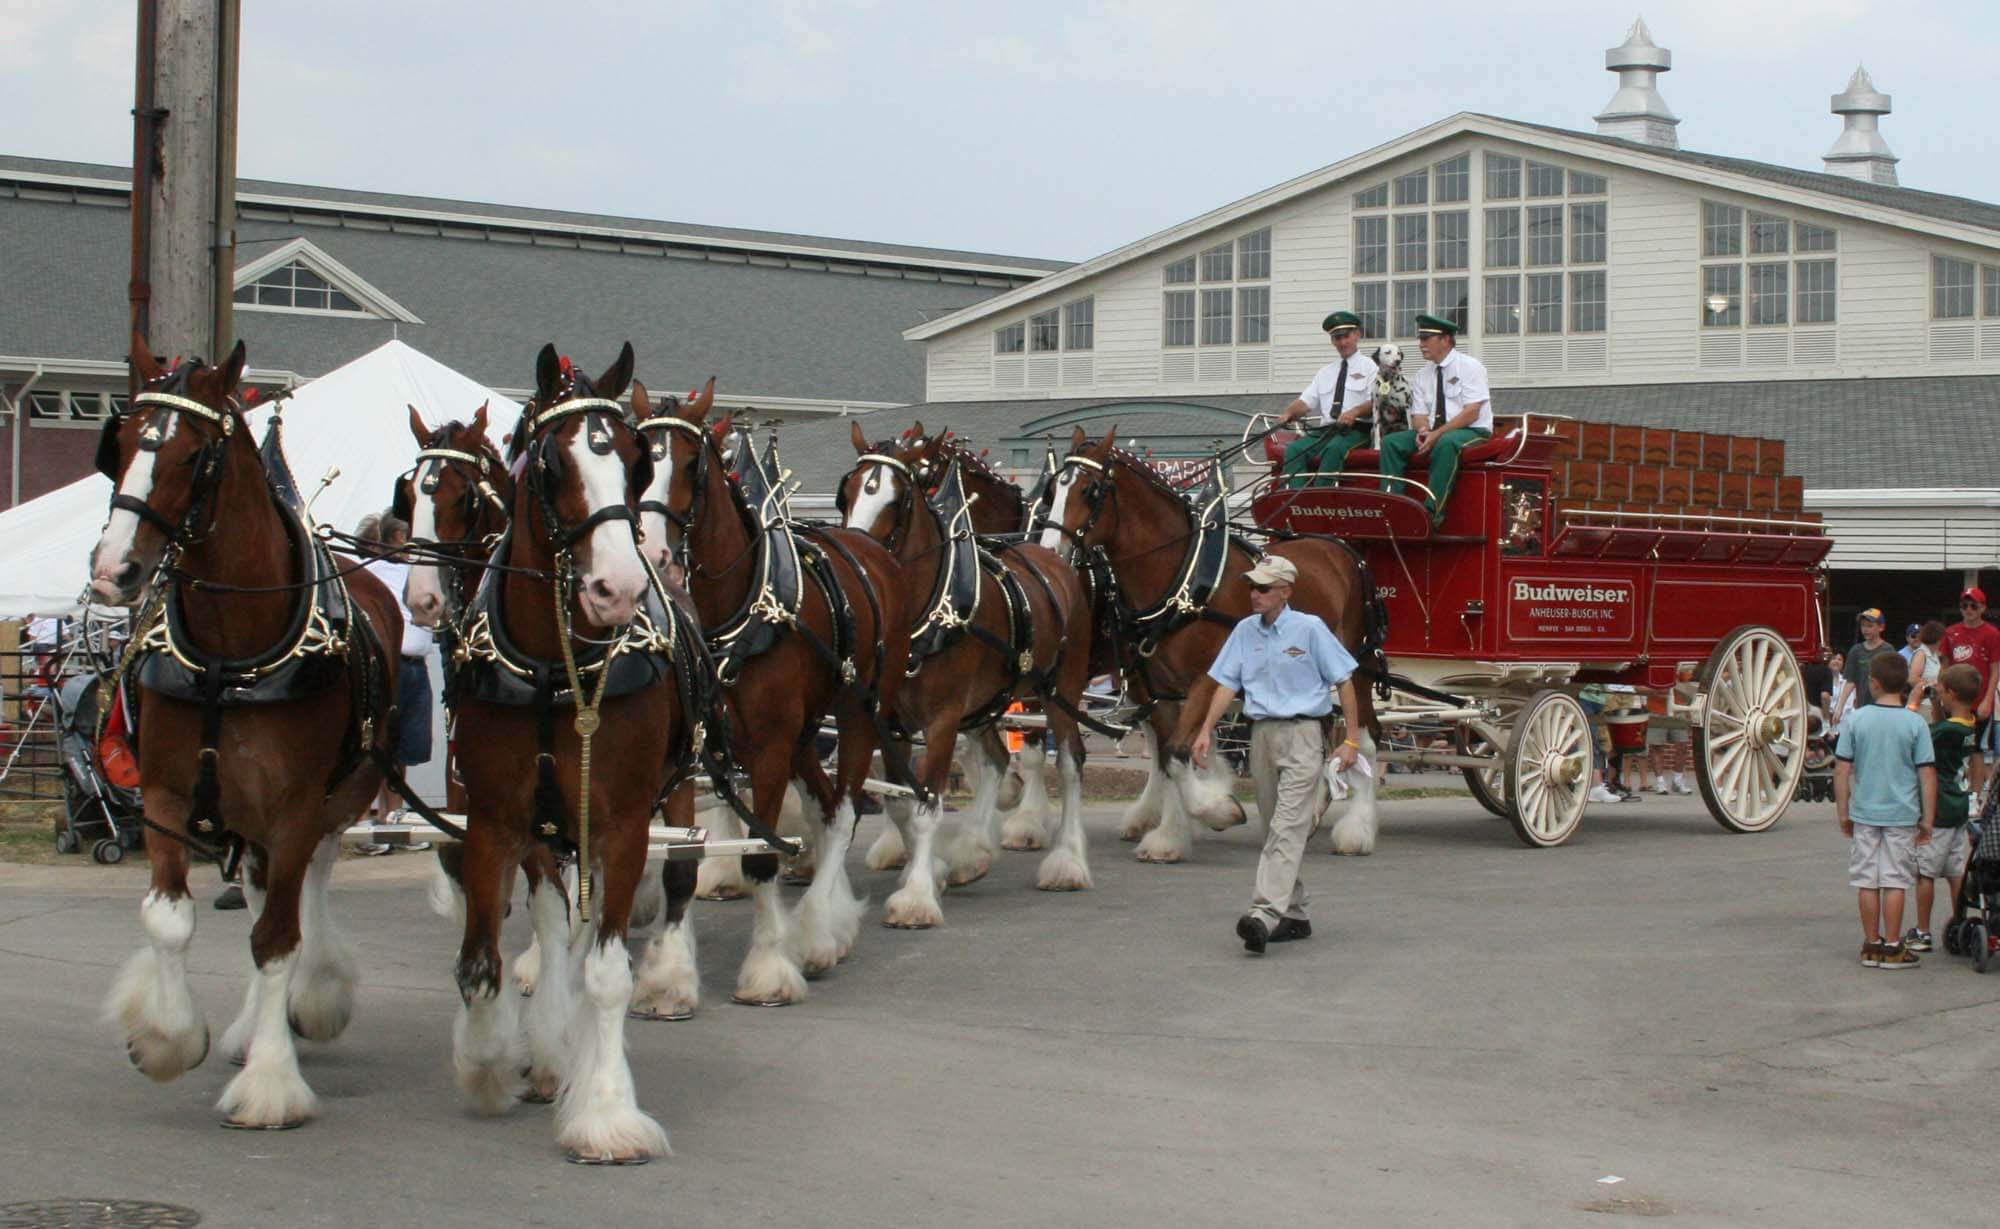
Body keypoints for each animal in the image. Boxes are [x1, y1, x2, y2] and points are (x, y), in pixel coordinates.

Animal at [94, 332, 402, 1128]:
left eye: (194, 455)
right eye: (119, 445)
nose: (114, 570)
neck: (227, 657)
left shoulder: (295, 807)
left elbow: (278, 939)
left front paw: (270, 1081)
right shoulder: (166, 798)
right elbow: (170, 918)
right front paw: (168, 1038)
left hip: (337, 797)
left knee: (307, 888)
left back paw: (310, 999)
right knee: (265, 890)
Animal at [444, 346, 680, 1168]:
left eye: (638, 462)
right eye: (551, 464)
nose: (616, 589)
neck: (557, 667)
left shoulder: (625, 825)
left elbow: (607, 972)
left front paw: (604, 1113)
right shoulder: (493, 820)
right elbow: (480, 962)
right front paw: (488, 1064)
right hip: (548, 831)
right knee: (551, 922)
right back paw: (548, 1046)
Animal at [632, 382, 908, 1000]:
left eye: (691, 463)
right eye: (638, 460)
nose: (655, 555)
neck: (731, 613)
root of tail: (865, 546)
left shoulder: (769, 749)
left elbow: (760, 859)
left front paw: (767, 969)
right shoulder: (693, 752)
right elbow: (680, 862)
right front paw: (669, 979)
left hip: (856, 712)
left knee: (845, 810)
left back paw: (819, 933)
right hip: (806, 734)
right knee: (826, 808)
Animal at [840, 424, 1096, 896]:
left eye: (898, 500)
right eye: (846, 492)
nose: (855, 555)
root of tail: (1054, 557)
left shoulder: (942, 718)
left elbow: (928, 805)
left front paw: (918, 894)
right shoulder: (891, 718)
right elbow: (901, 802)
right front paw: (934, 868)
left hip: (1059, 689)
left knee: (1070, 765)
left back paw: (1067, 861)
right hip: (985, 701)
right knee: (996, 759)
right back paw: (973, 851)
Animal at [1040, 428, 1384, 860]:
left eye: (1090, 490)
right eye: (1053, 489)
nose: (1049, 552)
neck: (1182, 579)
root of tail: (1342, 549)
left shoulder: (1208, 678)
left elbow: (1178, 752)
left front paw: (1217, 809)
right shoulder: (1162, 690)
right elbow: (1171, 756)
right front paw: (1173, 833)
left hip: (1355, 667)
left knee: (1366, 739)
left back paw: (1357, 831)